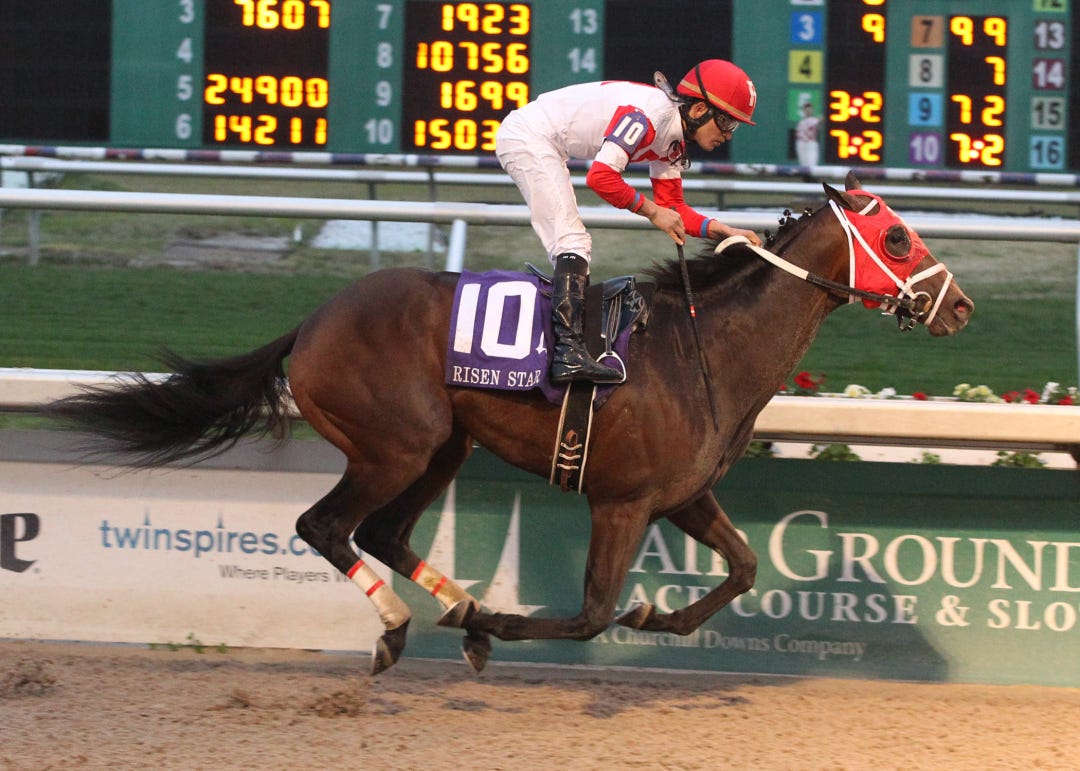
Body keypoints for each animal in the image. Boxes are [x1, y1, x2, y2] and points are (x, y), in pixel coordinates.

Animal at [46, 172, 974, 675]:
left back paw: (455, 608)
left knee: (381, 532)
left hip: (443, 447)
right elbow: (592, 612)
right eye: (896, 235)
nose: (959, 305)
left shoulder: (682, 495)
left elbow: (744, 567)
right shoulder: (623, 501)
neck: (703, 347)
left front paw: (658, 619)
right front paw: (511, 624)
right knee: (327, 526)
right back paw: (405, 626)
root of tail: (311, 322)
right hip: (396, 444)